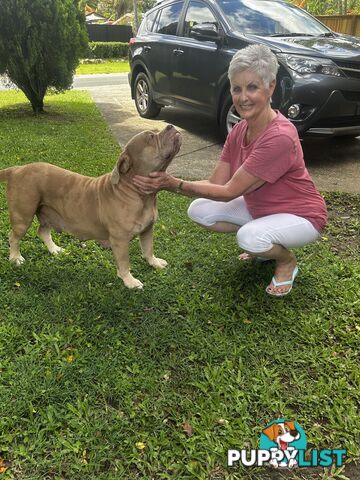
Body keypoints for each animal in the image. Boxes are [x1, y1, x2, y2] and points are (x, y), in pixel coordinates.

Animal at [0, 124, 181, 288]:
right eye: (151, 137)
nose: (170, 126)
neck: (138, 193)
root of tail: (17, 169)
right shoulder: (120, 240)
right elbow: (124, 263)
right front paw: (129, 281)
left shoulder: (147, 230)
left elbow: (148, 249)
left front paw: (154, 262)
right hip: (23, 216)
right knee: (14, 236)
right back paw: (15, 258)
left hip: (48, 214)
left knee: (42, 231)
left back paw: (55, 250)